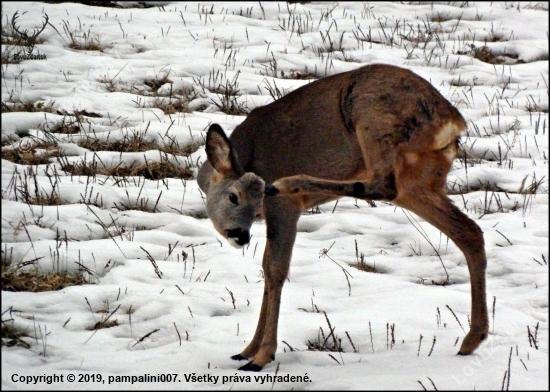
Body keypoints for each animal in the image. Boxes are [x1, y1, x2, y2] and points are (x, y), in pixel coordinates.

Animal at [198, 63, 492, 370]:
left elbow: (275, 269)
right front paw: (246, 349)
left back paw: (289, 182)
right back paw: (472, 340)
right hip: (419, 181)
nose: (240, 235)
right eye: (234, 197)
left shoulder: (284, 208)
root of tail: (453, 120)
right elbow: (267, 268)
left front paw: (261, 355)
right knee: (469, 231)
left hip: (372, 116)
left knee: (383, 184)